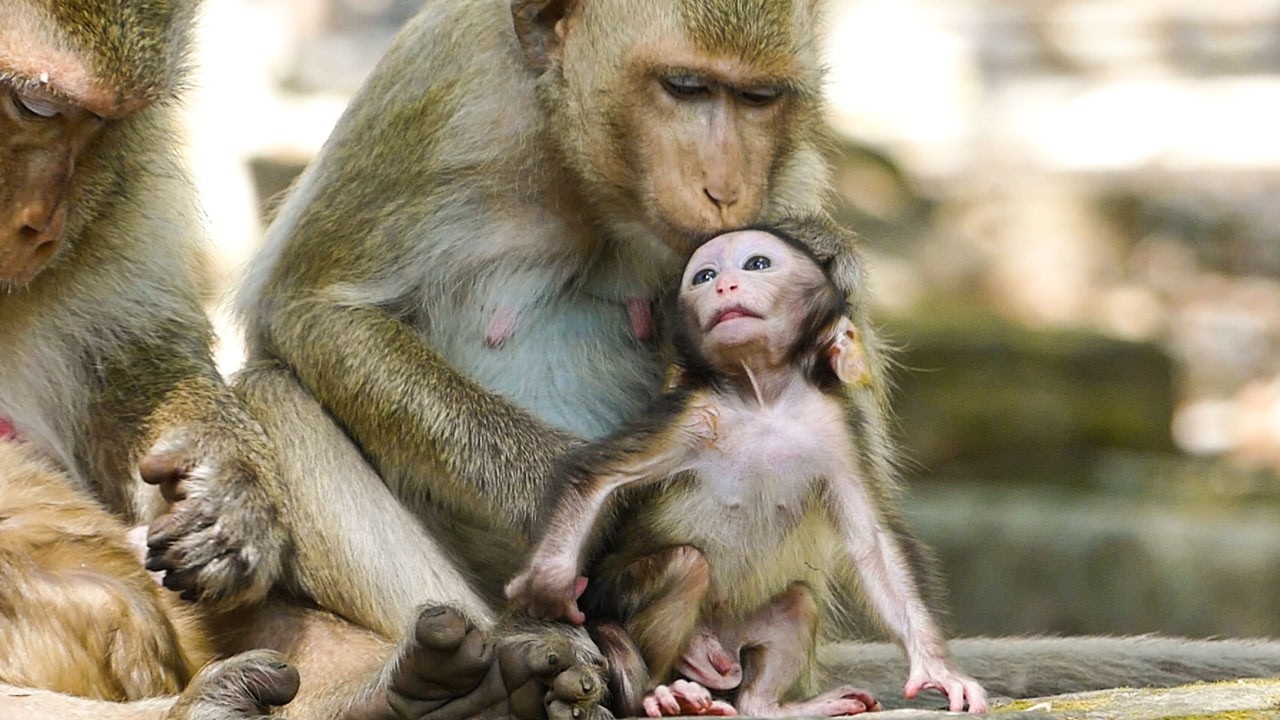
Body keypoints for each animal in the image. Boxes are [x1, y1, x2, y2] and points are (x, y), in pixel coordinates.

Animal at [505, 228, 986, 716]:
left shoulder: (836, 430)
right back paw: (661, 695)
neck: (763, 402)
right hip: (617, 601)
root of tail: (715, 657)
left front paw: (938, 669)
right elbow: (600, 477)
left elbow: (873, 545)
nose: (724, 286)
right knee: (686, 565)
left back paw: (770, 704)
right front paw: (548, 584)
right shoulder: (694, 416)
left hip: (742, 629)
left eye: (757, 264)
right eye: (703, 275)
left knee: (797, 604)